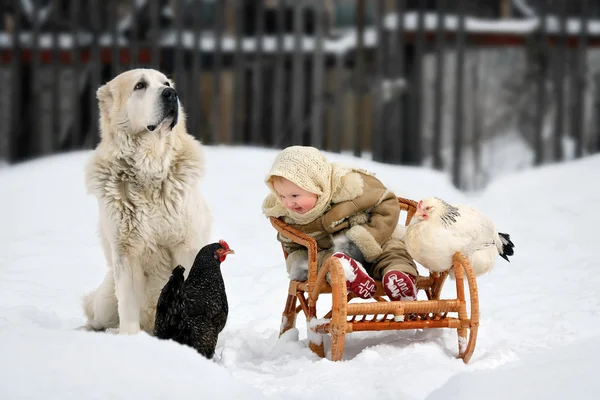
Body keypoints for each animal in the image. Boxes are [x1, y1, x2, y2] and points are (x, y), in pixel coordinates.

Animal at [79, 69, 211, 334]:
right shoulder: (126, 253)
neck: (149, 170)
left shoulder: (186, 246)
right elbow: (128, 309)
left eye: (166, 83)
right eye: (140, 85)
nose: (171, 94)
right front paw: (130, 339)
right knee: (96, 317)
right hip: (108, 298)